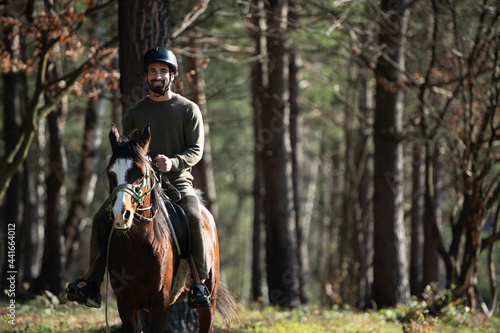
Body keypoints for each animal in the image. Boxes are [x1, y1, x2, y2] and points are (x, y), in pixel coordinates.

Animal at [103, 123, 236, 330]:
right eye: (110, 173)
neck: (136, 247)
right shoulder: (126, 305)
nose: (120, 215)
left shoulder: (160, 302)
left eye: (141, 173)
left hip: (210, 300)